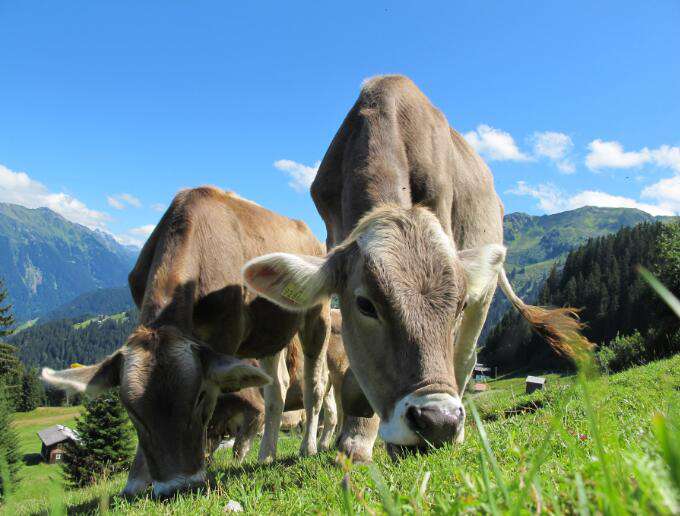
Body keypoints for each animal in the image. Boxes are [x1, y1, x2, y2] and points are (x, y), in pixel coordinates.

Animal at [41, 187, 331, 497]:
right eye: (131, 410)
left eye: (200, 397)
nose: (176, 487)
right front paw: (136, 480)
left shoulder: (225, 337)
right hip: (269, 334)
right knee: (277, 388)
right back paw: (266, 454)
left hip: (318, 315)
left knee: (315, 384)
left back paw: (308, 447)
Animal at [242, 75, 589, 461]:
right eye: (365, 304)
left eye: (458, 305)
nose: (438, 421)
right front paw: (356, 439)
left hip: (484, 295)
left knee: (466, 357)